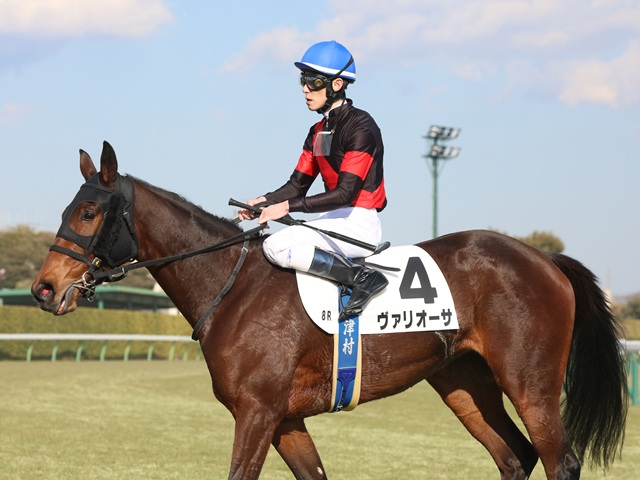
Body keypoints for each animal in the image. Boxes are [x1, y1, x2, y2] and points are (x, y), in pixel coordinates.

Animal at [32, 141, 628, 480]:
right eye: (67, 208)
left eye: (88, 212)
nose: (43, 288)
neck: (232, 288)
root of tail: (544, 258)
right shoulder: (285, 418)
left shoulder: (257, 411)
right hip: (464, 382)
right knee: (514, 457)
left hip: (530, 381)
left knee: (559, 461)